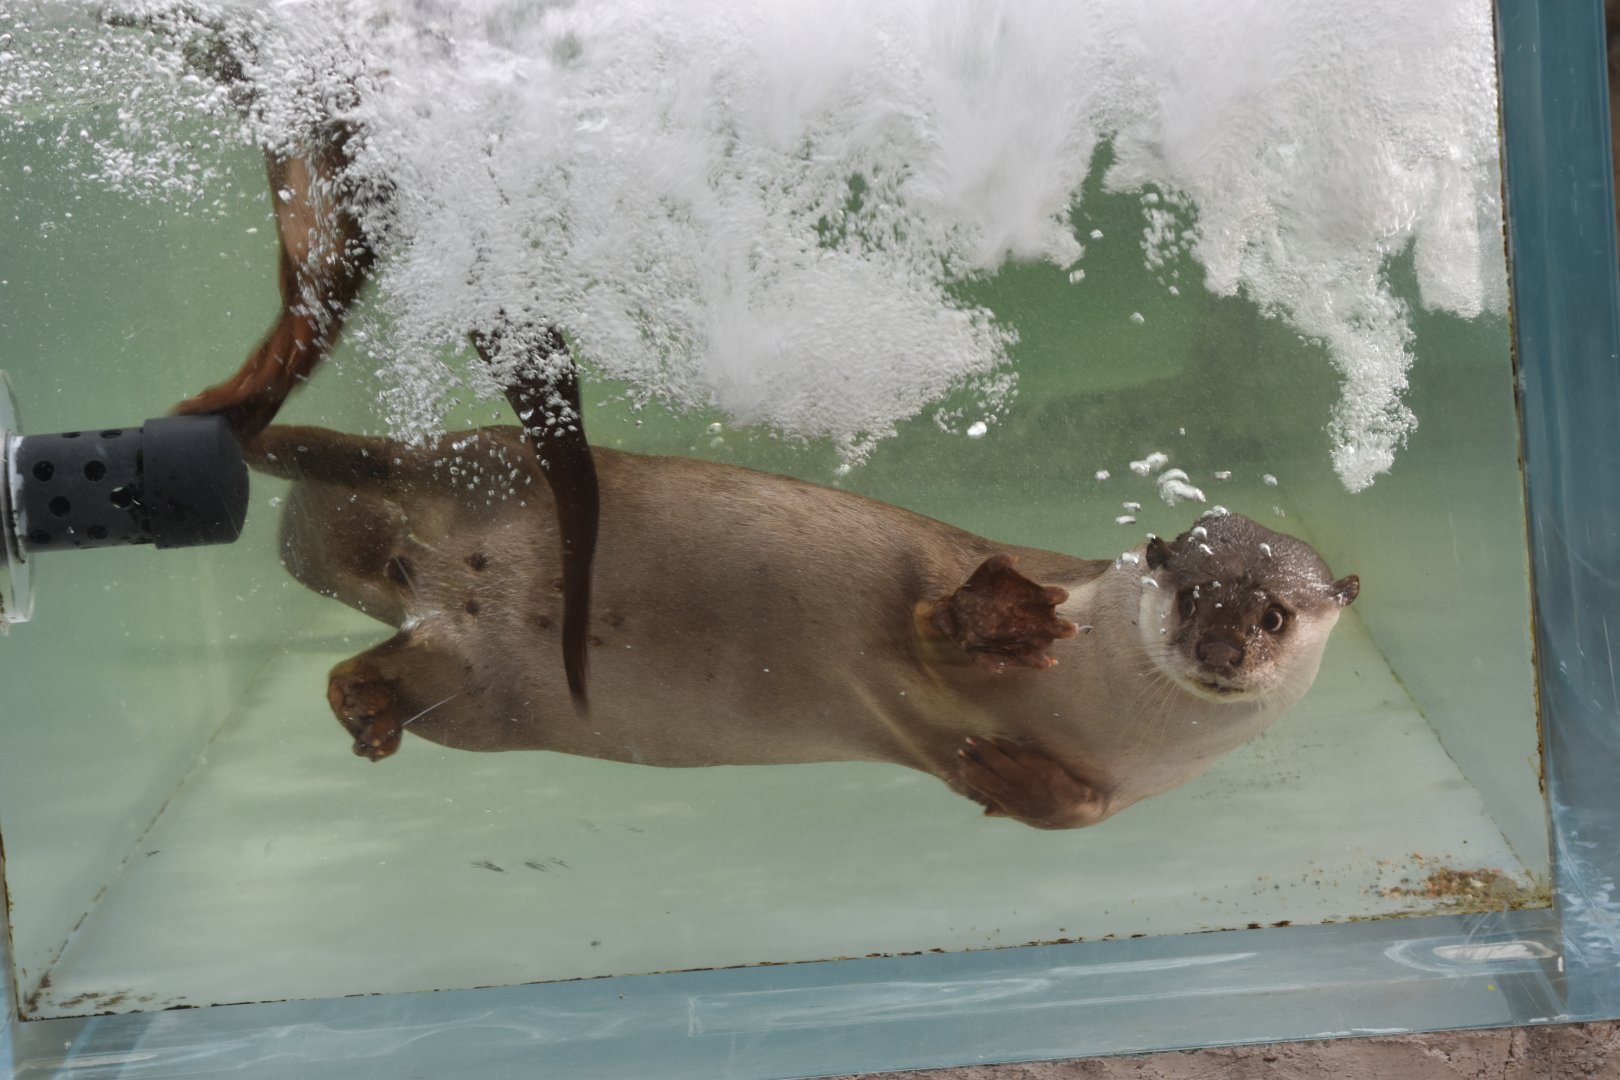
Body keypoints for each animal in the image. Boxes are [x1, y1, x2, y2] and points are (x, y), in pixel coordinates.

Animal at [250, 425, 1359, 829]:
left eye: (1272, 610)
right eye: (1192, 592)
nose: (1220, 648)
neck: (1113, 715)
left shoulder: (1122, 788)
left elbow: (1077, 814)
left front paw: (998, 775)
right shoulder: (996, 574)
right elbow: (933, 608)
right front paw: (1001, 624)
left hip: (479, 692)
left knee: (397, 667)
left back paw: (367, 709)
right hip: (500, 471)